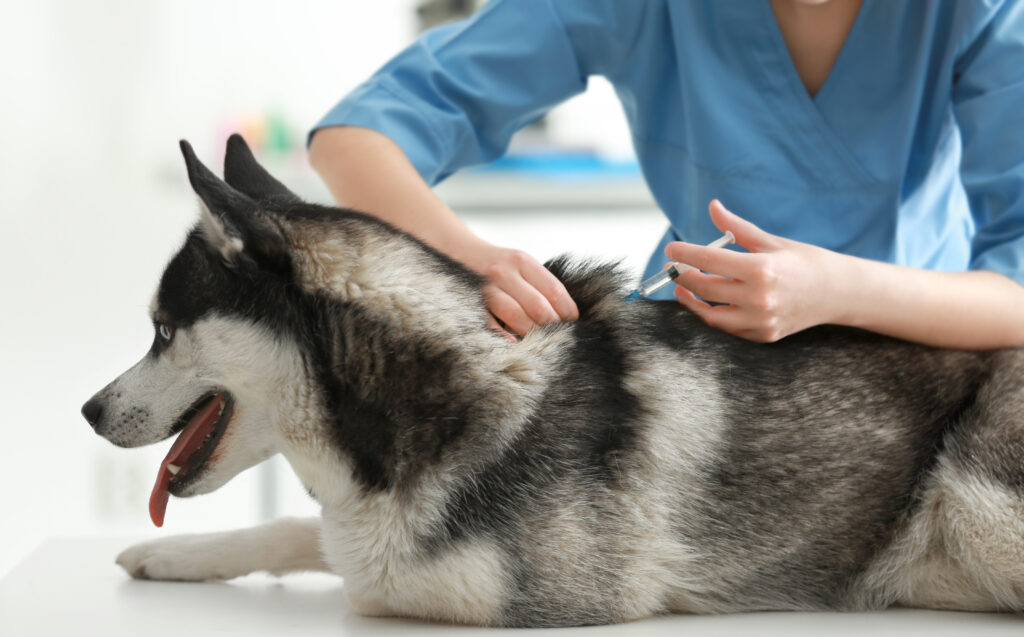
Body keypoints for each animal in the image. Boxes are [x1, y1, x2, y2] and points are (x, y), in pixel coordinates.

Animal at [81, 136, 1024, 630]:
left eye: (162, 330)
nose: (88, 410)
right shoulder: (370, 528)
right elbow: (294, 528)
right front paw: (174, 553)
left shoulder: (510, 596)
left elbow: (360, 570)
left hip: (971, 499)